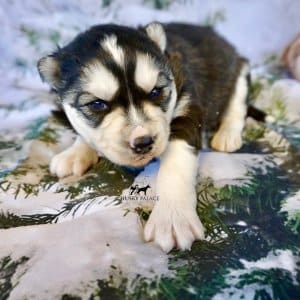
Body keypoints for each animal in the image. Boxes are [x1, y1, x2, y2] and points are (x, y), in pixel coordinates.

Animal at [38, 22, 252, 251]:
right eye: (97, 104)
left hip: (239, 70)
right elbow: (83, 131)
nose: (143, 142)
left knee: (237, 102)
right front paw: (75, 152)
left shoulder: (188, 106)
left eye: (155, 92)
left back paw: (227, 135)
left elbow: (176, 162)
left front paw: (173, 217)